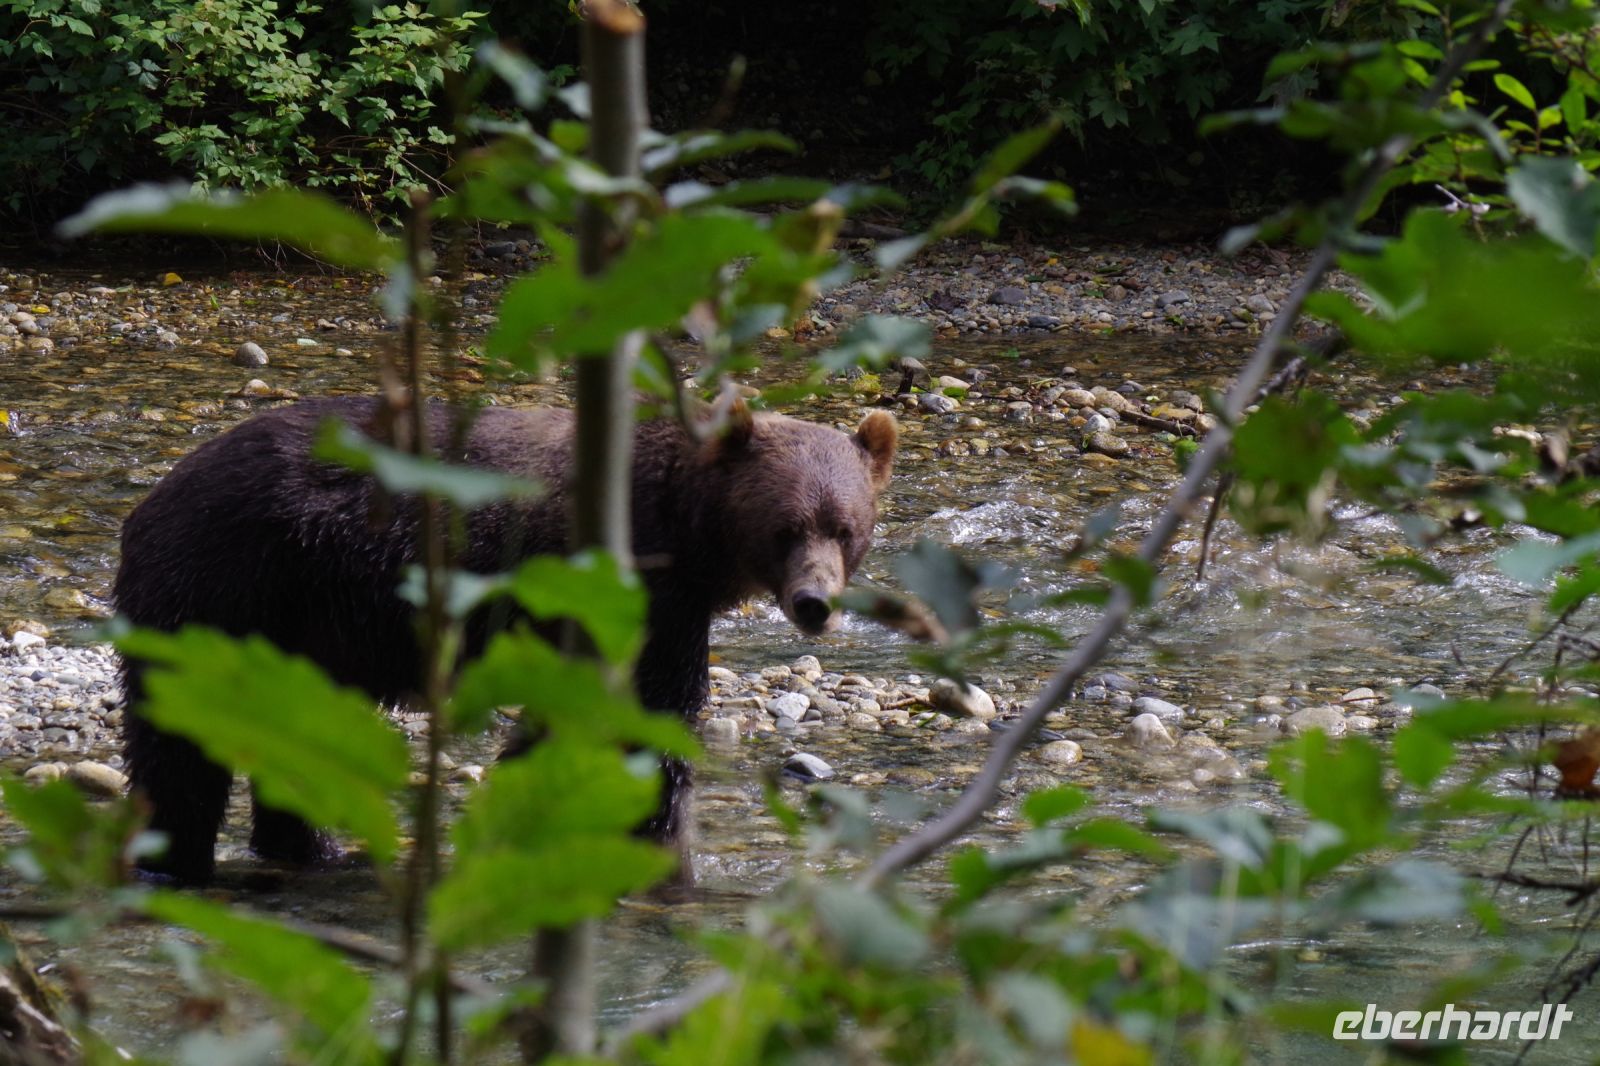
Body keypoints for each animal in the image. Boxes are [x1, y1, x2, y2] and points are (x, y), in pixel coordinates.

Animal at [114, 395, 898, 884]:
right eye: (785, 528)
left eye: (845, 527)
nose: (815, 603)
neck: (687, 531)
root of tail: (154, 495)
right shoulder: (634, 592)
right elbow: (651, 714)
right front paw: (658, 845)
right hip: (222, 583)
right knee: (178, 744)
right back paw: (178, 857)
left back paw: (313, 848)